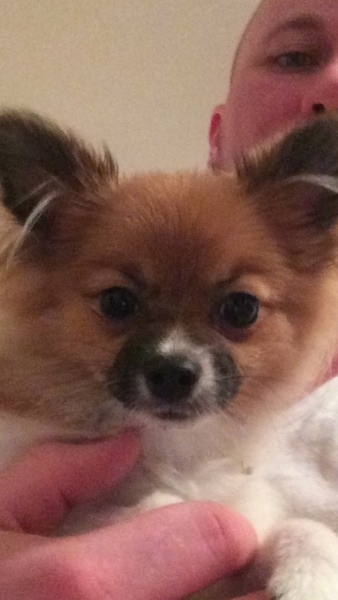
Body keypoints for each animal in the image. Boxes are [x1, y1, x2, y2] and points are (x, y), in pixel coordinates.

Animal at [0, 111, 338, 596]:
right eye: (117, 302)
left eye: (241, 308)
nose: (173, 372)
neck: (177, 450)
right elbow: (131, 511)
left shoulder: (254, 513)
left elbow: (299, 527)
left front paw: (315, 576)